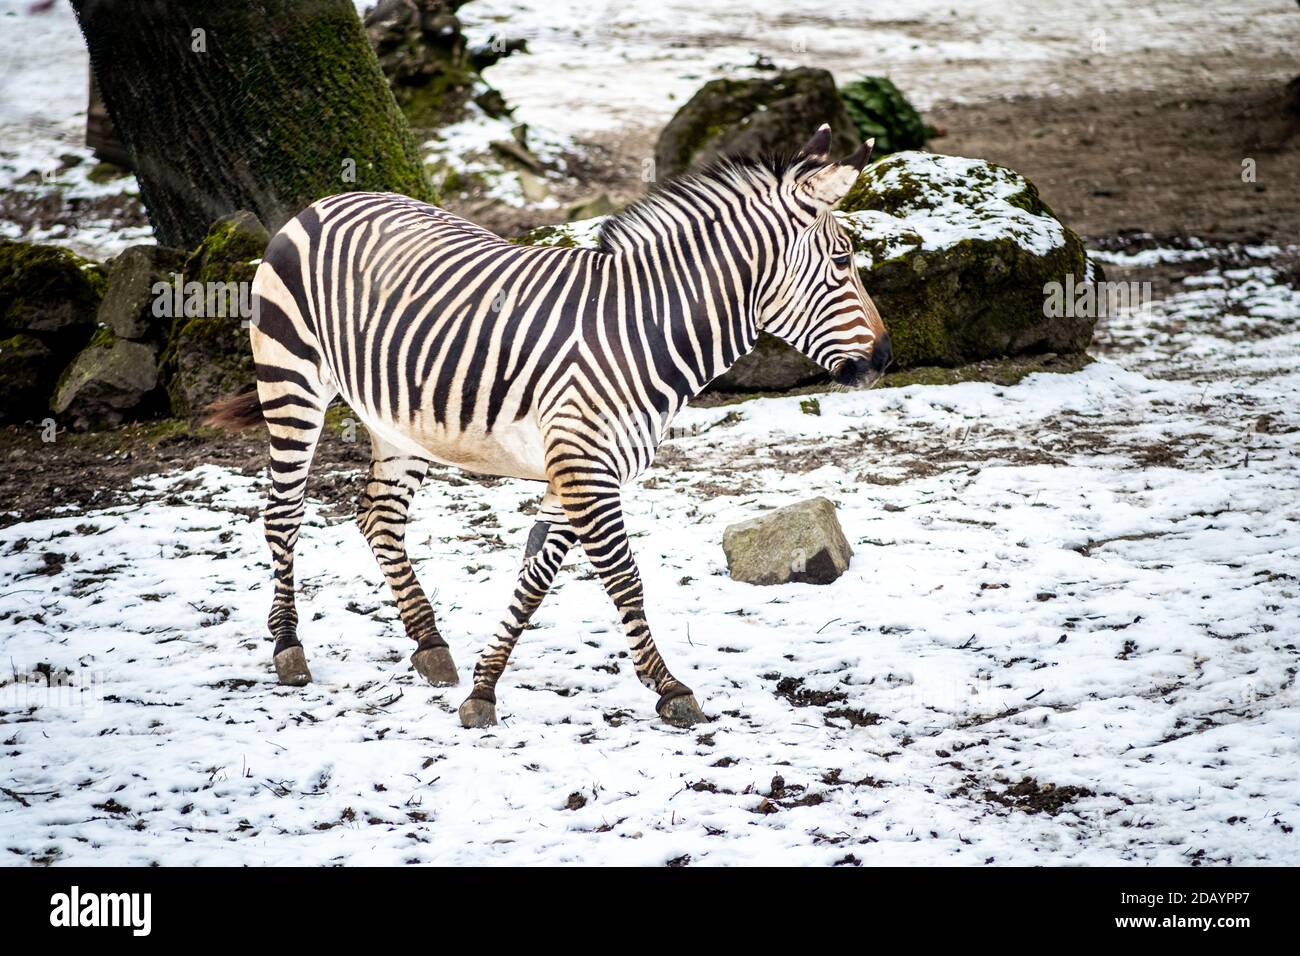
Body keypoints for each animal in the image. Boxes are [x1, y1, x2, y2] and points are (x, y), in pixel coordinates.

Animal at [204, 124, 891, 729]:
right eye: (842, 260)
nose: (885, 358)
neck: (640, 330)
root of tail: (323, 201)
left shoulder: (580, 470)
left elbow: (535, 579)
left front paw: (483, 688)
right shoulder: (584, 468)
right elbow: (625, 580)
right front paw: (670, 689)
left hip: (398, 420)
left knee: (378, 516)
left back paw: (430, 644)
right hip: (291, 379)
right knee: (283, 513)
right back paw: (288, 649)